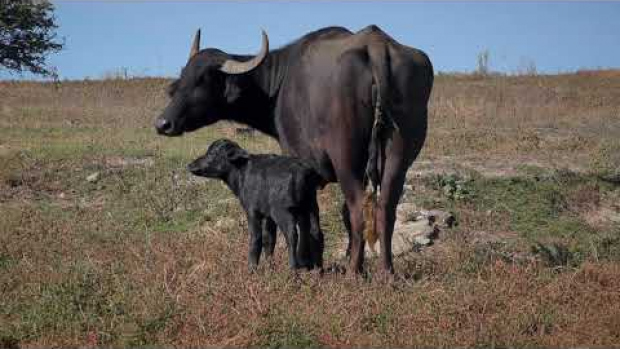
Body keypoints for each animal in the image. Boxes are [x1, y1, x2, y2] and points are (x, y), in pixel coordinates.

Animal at [154, 25, 434, 274]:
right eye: (183, 76)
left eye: (203, 80)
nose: (163, 123)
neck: (278, 84)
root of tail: (375, 46)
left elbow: (308, 225)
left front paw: (307, 264)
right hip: (399, 156)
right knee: (386, 208)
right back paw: (386, 272)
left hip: (346, 160)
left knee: (357, 210)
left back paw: (354, 272)